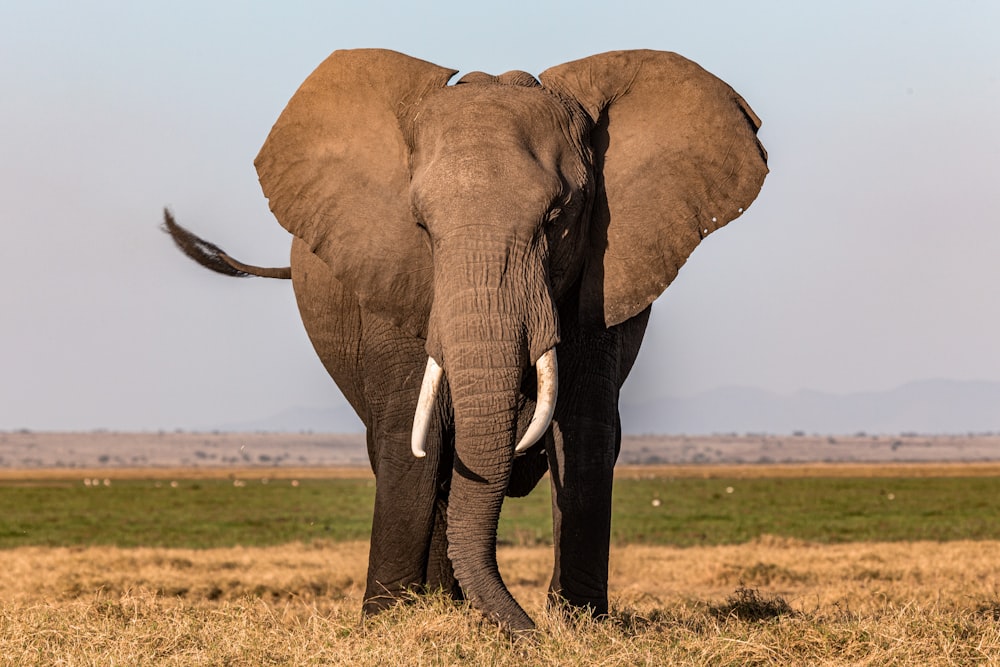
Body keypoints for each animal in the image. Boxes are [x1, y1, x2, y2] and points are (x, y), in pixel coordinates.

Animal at [168, 49, 768, 636]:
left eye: (557, 218)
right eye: (420, 226)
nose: (529, 631)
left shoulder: (605, 277)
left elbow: (584, 430)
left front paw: (581, 629)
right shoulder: (394, 283)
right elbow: (415, 436)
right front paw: (385, 625)